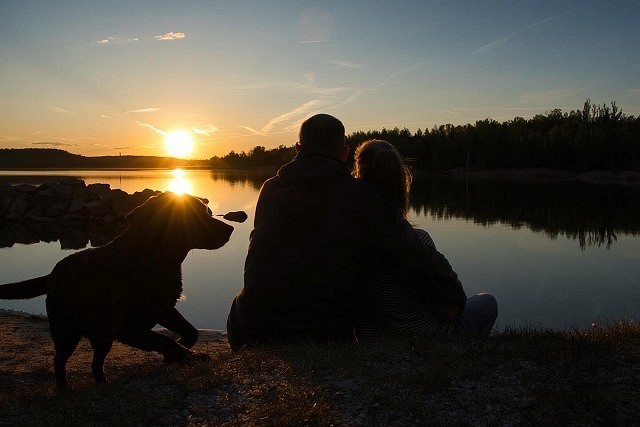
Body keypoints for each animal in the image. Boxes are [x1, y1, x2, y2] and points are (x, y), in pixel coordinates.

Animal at [0, 194, 234, 392]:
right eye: (197, 214)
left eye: (207, 211)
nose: (230, 229)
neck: (154, 259)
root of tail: (52, 273)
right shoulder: (126, 326)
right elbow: (166, 341)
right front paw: (190, 356)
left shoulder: (163, 309)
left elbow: (191, 332)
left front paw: (178, 353)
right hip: (67, 332)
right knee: (59, 360)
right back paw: (64, 389)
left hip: (102, 337)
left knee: (95, 365)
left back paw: (103, 384)